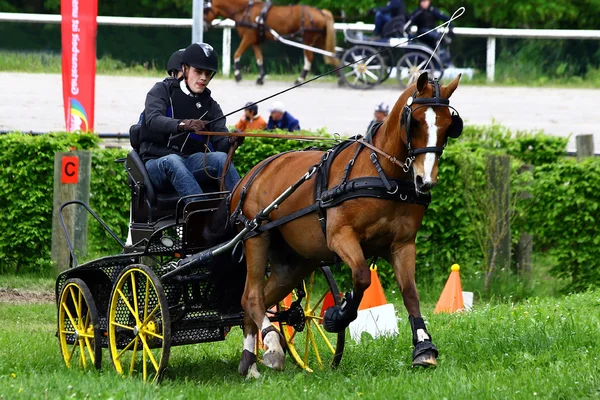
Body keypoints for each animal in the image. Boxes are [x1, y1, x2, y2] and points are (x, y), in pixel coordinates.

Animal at [204, 0, 340, 84]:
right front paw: (260, 78)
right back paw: (341, 79)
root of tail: (321, 12)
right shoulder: (255, 41)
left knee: (310, 58)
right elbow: (259, 59)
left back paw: (300, 79)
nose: (204, 26)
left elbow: (237, 54)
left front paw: (238, 76)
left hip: (308, 40)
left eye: (205, 10)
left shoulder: (248, 38)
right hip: (320, 40)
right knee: (332, 56)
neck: (245, 11)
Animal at [218, 72, 466, 378]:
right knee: (251, 296)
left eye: (449, 125)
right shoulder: (340, 236)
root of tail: (251, 174)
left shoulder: (403, 245)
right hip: (256, 237)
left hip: (294, 263)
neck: (383, 173)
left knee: (257, 299)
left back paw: (251, 360)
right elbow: (362, 275)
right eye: (416, 121)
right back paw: (272, 347)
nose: (425, 181)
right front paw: (339, 314)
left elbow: (410, 292)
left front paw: (423, 348)